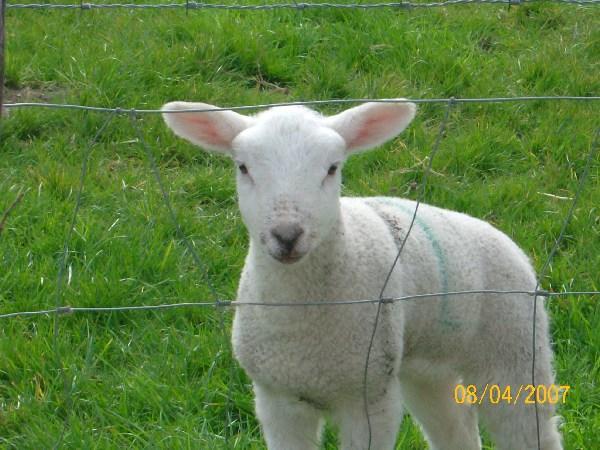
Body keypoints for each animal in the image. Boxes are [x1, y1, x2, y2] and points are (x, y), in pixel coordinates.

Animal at [161, 101, 564, 450]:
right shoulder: (277, 401)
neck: (299, 323)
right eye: (243, 167)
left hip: (515, 351)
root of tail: (507, 242)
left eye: (332, 168)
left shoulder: (371, 401)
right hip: (426, 370)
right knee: (456, 426)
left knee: (532, 430)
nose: (287, 235)